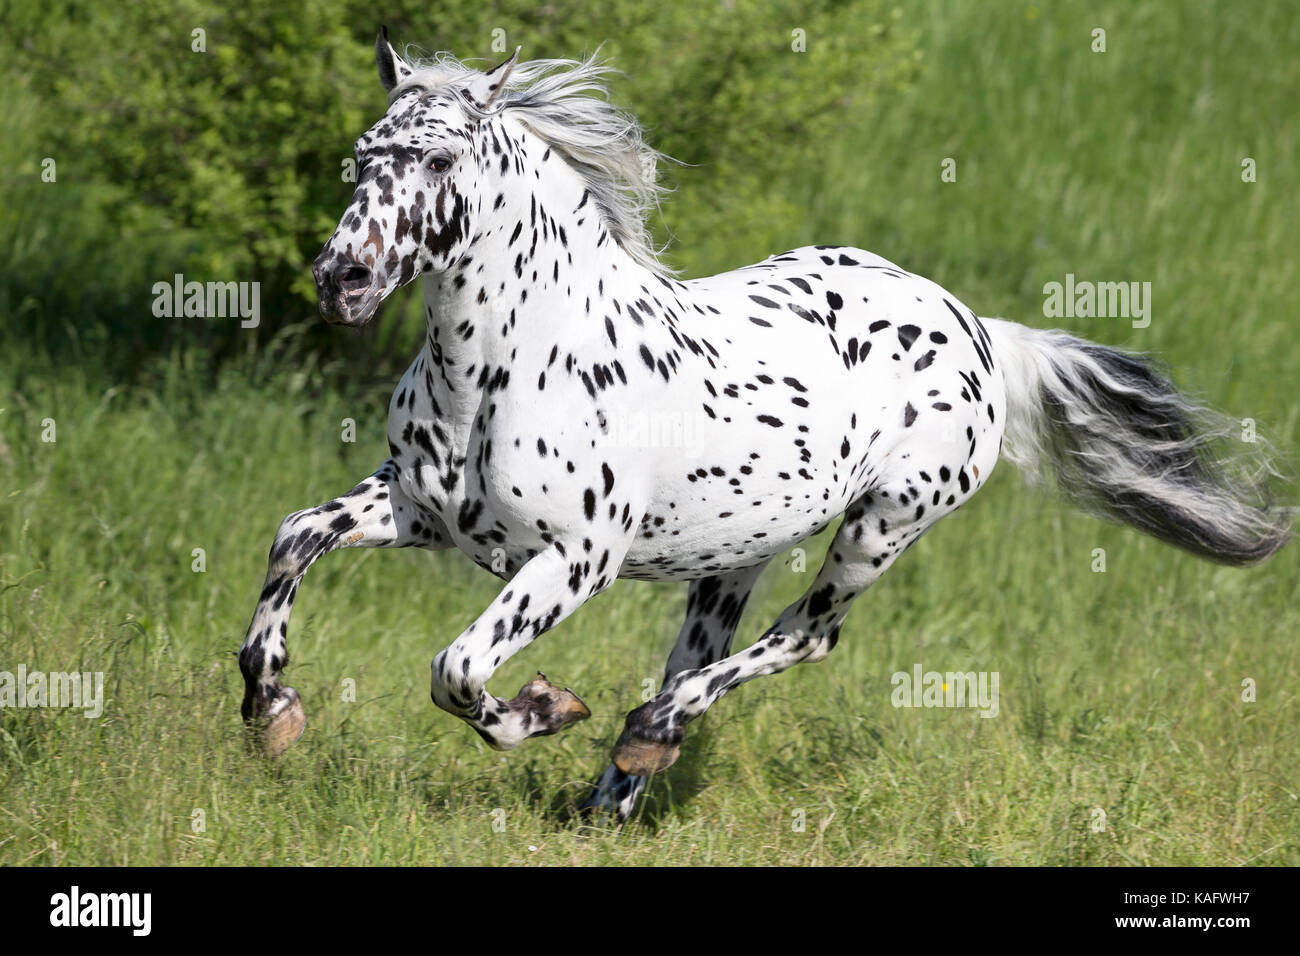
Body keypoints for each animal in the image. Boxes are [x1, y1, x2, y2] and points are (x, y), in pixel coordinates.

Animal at [239, 31, 1294, 822]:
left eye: (439, 157)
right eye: (365, 153)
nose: (343, 281)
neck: (510, 364)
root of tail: (983, 332)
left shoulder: (575, 560)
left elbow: (456, 669)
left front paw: (544, 708)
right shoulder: (420, 511)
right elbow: (295, 536)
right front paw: (270, 707)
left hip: (881, 527)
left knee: (801, 639)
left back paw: (649, 731)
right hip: (735, 556)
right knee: (704, 655)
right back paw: (618, 787)